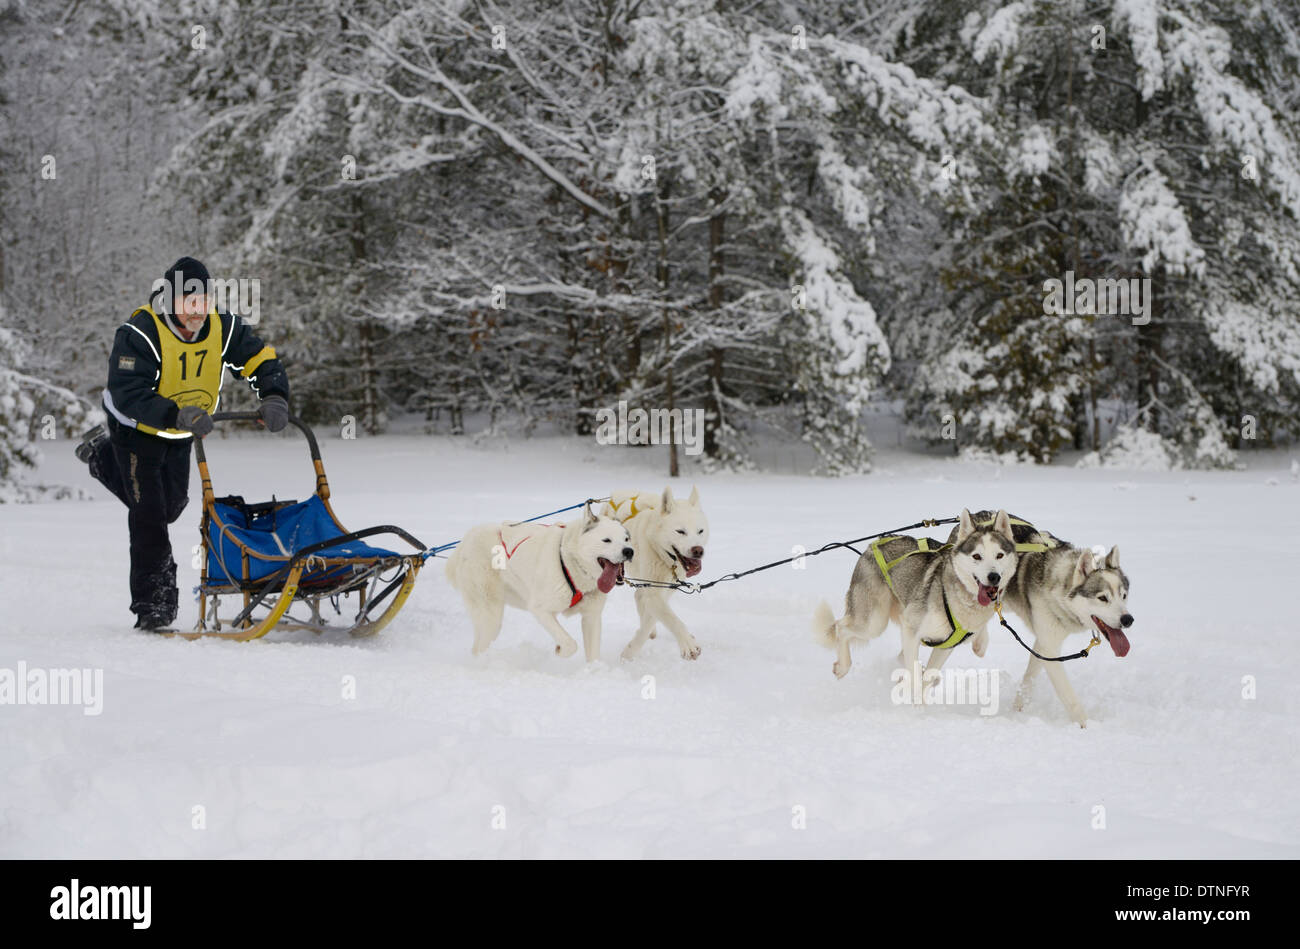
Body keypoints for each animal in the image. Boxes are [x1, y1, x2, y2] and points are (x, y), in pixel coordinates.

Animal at [441, 501, 634, 657]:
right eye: (606, 540)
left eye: (626, 538)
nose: (629, 551)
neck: (570, 563)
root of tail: (466, 540)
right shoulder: (540, 609)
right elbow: (570, 644)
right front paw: (560, 650)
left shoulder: (591, 617)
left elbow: (593, 655)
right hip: (491, 615)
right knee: (479, 647)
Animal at [600, 488, 712, 657]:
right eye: (680, 531)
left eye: (700, 531)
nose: (698, 550)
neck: (664, 556)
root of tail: (616, 494)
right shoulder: (654, 594)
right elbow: (671, 618)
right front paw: (688, 643)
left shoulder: (664, 591)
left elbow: (651, 618)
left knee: (639, 596)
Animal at [811, 506, 1013, 696]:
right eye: (977, 556)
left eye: (999, 555)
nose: (994, 577)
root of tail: (872, 545)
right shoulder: (911, 630)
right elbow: (915, 678)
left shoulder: (945, 645)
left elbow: (927, 677)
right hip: (874, 622)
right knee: (840, 627)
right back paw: (843, 666)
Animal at [951, 509, 1133, 722]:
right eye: (1103, 598)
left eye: (1123, 596)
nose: (1128, 620)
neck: (1060, 593)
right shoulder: (1050, 648)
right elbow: (1070, 698)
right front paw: (1085, 725)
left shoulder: (1044, 644)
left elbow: (1029, 677)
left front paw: (1018, 706)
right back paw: (980, 641)